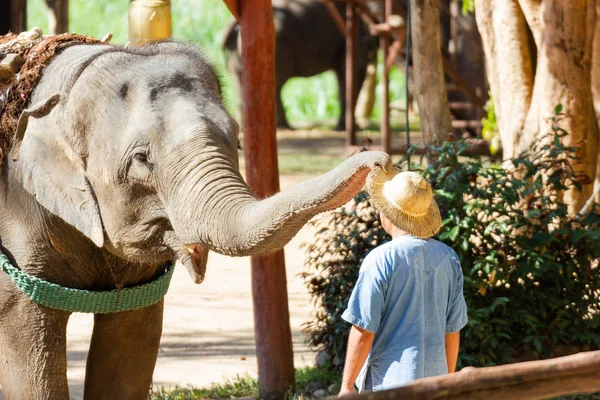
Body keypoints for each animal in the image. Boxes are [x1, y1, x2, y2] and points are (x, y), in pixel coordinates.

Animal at [0, 39, 390, 398]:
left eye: (237, 139)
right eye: (142, 159)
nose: (381, 160)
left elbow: (130, 341)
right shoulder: (18, 216)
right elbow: (28, 335)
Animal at [223, 0, 378, 130]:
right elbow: (355, 70)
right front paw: (347, 128)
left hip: (236, 55)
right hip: (278, 47)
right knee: (276, 83)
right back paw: (282, 127)